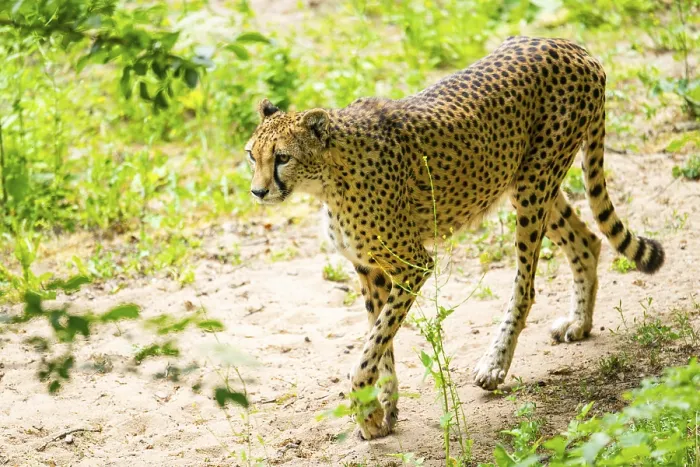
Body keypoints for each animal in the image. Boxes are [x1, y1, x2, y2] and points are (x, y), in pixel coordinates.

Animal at [244, 36, 665, 440]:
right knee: (586, 241)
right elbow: (381, 343)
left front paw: (367, 409)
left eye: (282, 157)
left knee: (526, 285)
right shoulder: (370, 270)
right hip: (527, 181)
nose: (258, 192)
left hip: (534, 185)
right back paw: (579, 323)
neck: (329, 176)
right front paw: (382, 412)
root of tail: (572, 47)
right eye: (251, 154)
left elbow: (372, 346)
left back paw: (494, 364)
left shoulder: (413, 265)